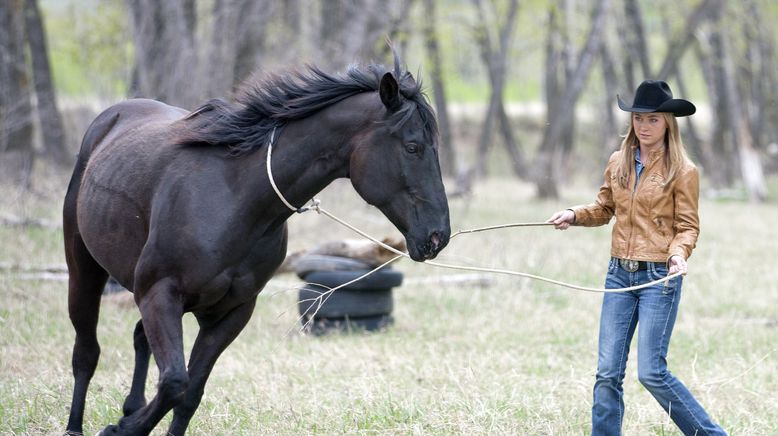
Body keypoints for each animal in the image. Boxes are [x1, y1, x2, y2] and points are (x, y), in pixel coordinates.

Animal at [63, 56, 452, 434]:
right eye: (413, 147)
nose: (438, 236)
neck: (236, 197)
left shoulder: (231, 312)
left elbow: (188, 394)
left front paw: (129, 421)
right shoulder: (160, 294)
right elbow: (175, 382)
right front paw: (121, 429)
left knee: (140, 338)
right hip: (85, 271)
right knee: (86, 353)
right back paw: (75, 427)